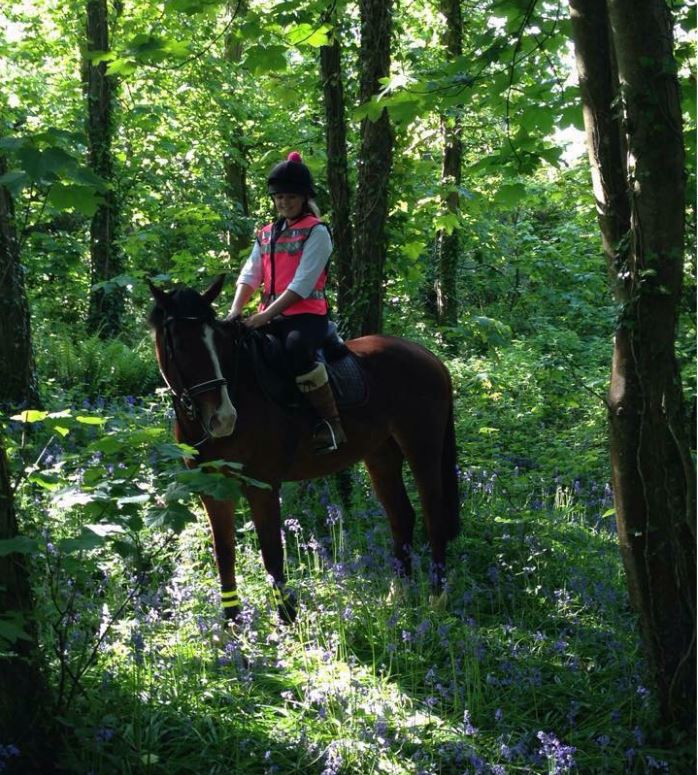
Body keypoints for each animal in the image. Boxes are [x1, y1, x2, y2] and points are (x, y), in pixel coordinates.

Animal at [150, 276, 460, 620]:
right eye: (180, 345)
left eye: (217, 341)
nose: (224, 418)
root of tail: (429, 357)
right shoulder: (213, 491)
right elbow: (225, 555)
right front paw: (232, 625)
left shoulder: (263, 487)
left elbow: (272, 554)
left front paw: (287, 619)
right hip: (381, 454)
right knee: (401, 515)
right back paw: (398, 596)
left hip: (422, 448)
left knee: (433, 515)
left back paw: (437, 597)